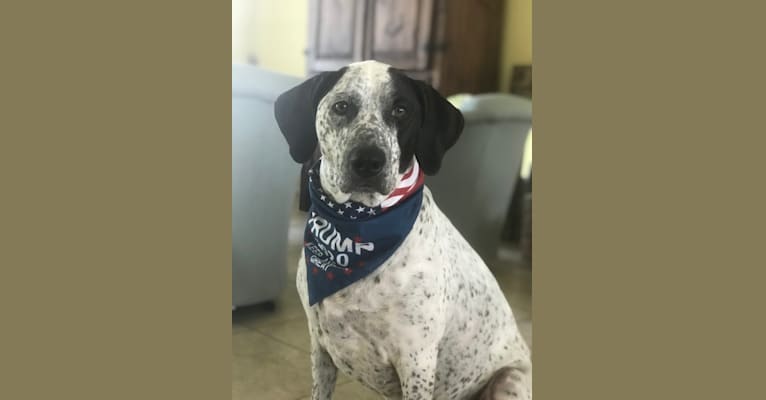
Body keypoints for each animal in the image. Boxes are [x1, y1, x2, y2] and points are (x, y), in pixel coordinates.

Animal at [276, 60, 536, 400]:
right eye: (341, 106)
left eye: (401, 110)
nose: (368, 161)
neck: (360, 229)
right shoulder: (321, 349)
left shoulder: (417, 360)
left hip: (509, 380)